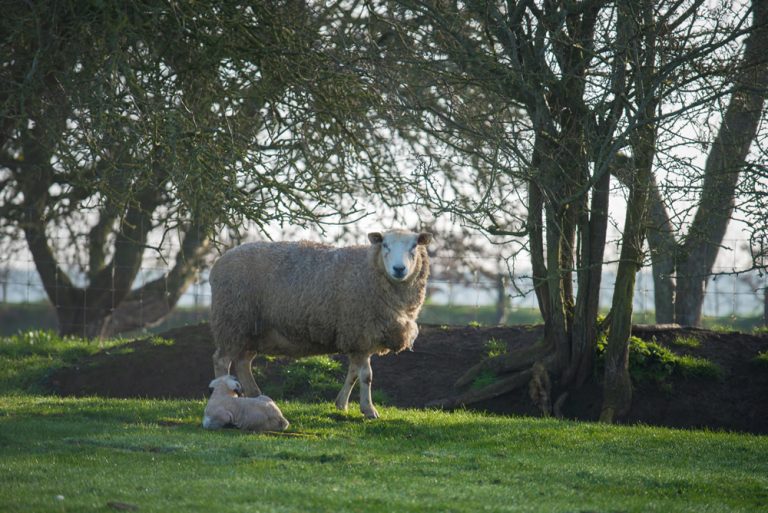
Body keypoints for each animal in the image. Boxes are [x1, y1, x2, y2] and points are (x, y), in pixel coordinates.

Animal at [210, 230, 432, 418]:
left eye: (414, 246)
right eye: (385, 244)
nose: (399, 269)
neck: (369, 269)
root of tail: (219, 262)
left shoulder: (358, 338)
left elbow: (353, 374)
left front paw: (341, 404)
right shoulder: (359, 332)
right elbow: (366, 376)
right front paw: (369, 410)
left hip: (251, 331)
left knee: (243, 363)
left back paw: (255, 395)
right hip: (231, 321)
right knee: (222, 361)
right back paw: (224, 397)